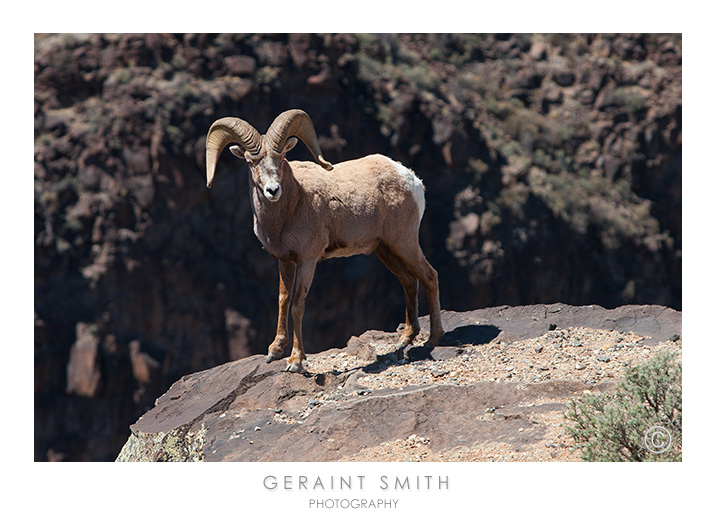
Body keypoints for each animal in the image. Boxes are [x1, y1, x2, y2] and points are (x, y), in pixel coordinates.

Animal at [204, 107, 444, 372]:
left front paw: (296, 361)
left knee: (430, 276)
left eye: (281, 157)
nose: (273, 191)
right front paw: (274, 351)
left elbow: (297, 305)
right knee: (409, 282)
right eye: (250, 162)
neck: (294, 203)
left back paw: (434, 338)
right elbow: (282, 300)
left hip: (405, 241)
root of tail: (411, 179)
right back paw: (406, 338)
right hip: (386, 249)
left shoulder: (307, 260)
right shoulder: (284, 260)